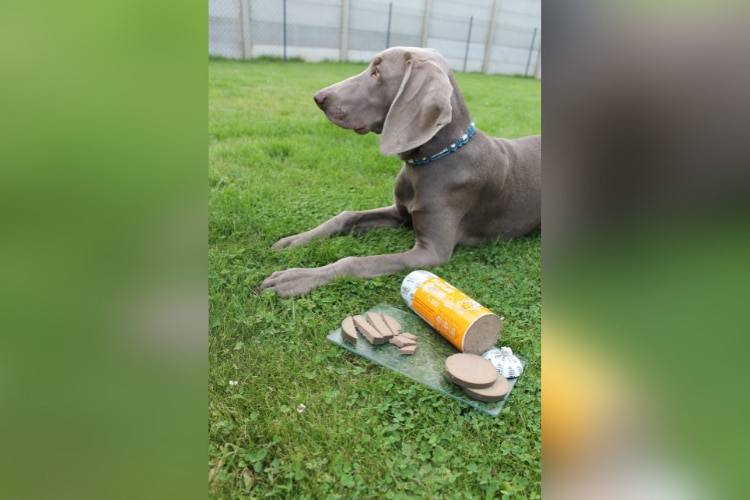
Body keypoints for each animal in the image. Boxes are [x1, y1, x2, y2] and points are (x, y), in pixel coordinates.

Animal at [260, 46, 540, 296]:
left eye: (377, 72)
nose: (318, 97)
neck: (434, 157)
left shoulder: (431, 252)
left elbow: (357, 261)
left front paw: (296, 277)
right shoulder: (400, 213)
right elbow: (346, 216)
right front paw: (296, 240)